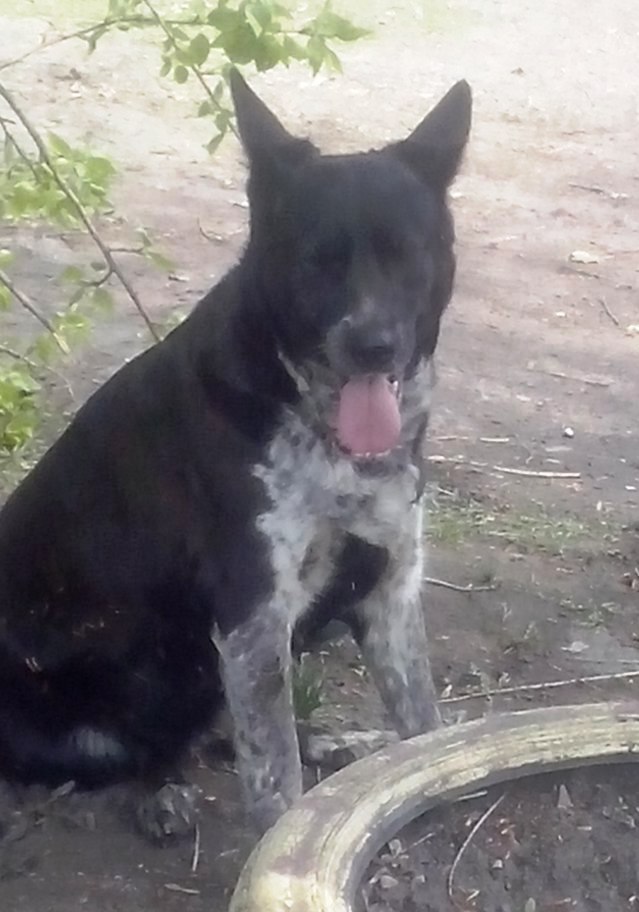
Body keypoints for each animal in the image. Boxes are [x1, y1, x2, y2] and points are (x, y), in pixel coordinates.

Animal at [0, 70, 471, 837]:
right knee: (145, 749)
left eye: (407, 253)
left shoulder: (390, 589)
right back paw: (161, 791)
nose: (372, 346)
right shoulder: (255, 618)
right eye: (316, 261)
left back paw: (327, 743)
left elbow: (422, 725)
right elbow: (276, 783)